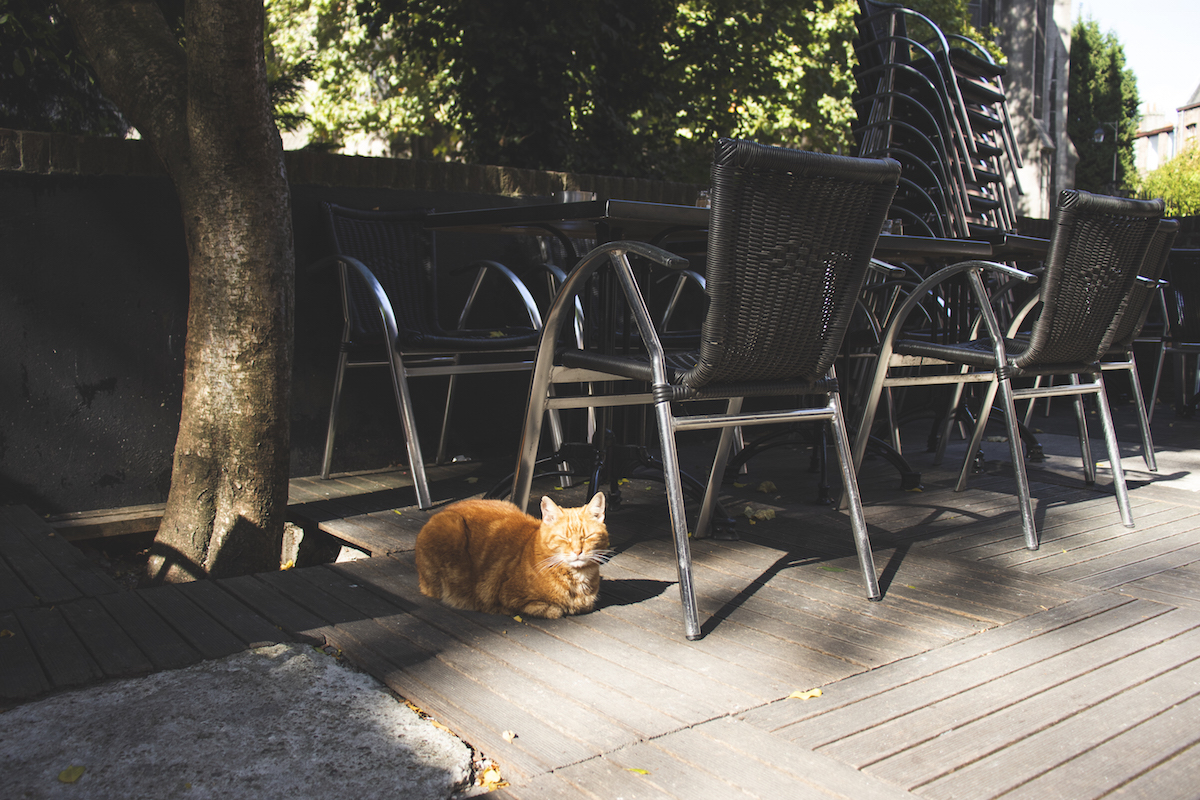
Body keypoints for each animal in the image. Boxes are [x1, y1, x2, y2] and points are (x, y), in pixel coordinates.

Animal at [417, 494, 614, 618]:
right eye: (564, 538)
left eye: (587, 537)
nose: (578, 551)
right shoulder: (507, 596)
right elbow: (552, 610)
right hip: (451, 526)